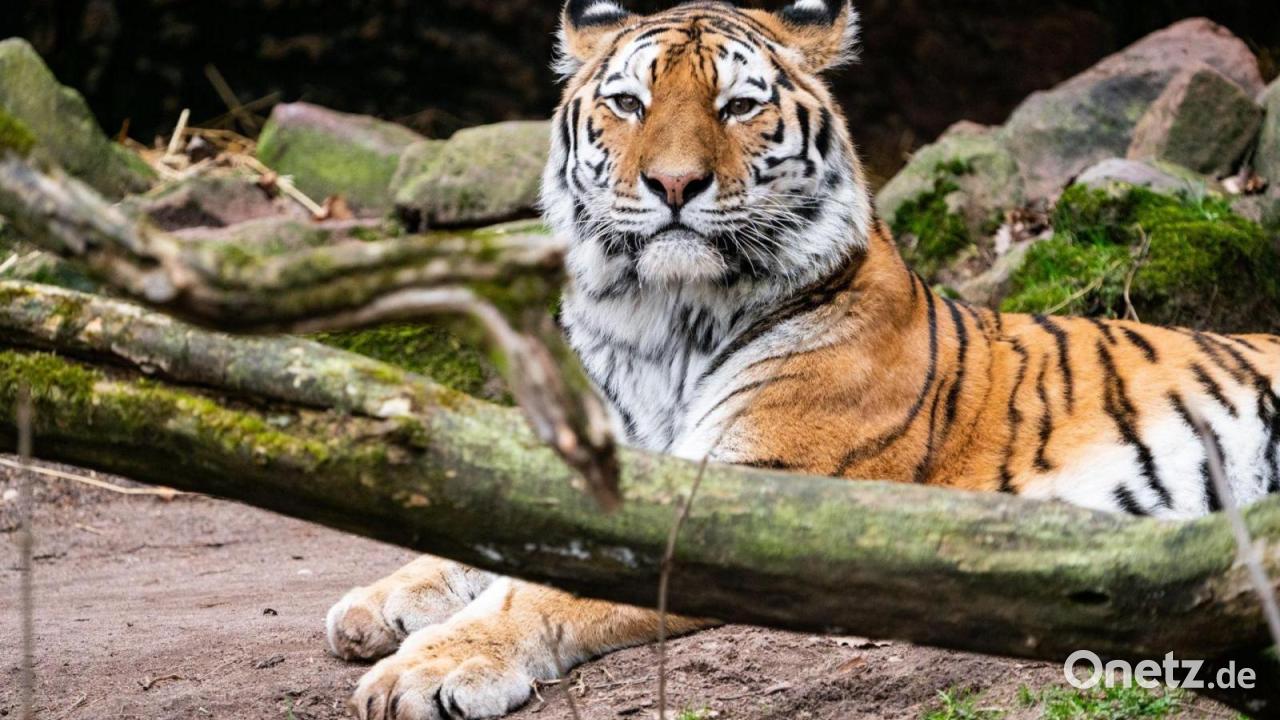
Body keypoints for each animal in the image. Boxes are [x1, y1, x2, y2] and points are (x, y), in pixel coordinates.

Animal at [326, 1, 1280, 718]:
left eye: (738, 107)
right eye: (629, 105)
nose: (674, 185)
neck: (658, 321)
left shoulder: (740, 504)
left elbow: (533, 590)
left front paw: (428, 667)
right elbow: (474, 543)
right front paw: (373, 605)